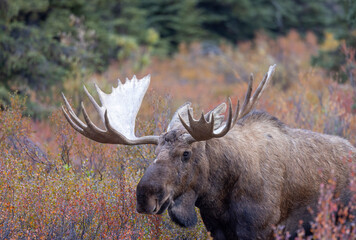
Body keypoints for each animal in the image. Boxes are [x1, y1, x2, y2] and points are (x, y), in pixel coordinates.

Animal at [62, 64, 356, 239]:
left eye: (186, 153)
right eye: (154, 152)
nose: (145, 196)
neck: (218, 193)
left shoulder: (262, 228)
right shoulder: (219, 230)